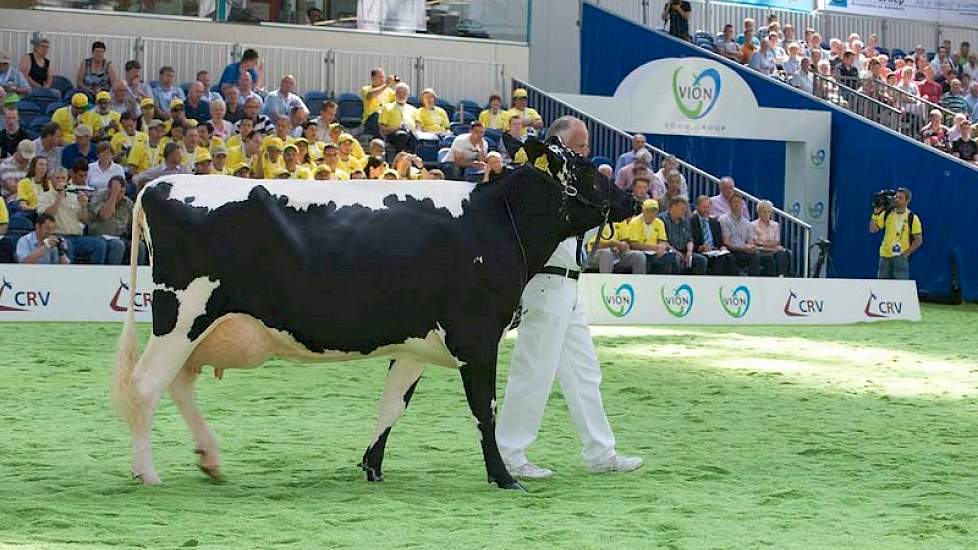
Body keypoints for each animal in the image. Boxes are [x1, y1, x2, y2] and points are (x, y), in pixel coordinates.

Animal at [112, 133, 632, 492]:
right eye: (587, 167)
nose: (628, 197)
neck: (498, 218)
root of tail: (160, 184)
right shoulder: (477, 336)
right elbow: (485, 411)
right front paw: (504, 478)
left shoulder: (417, 343)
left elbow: (392, 403)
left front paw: (372, 466)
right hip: (181, 317)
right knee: (145, 385)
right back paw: (146, 472)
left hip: (197, 329)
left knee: (178, 384)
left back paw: (210, 459)